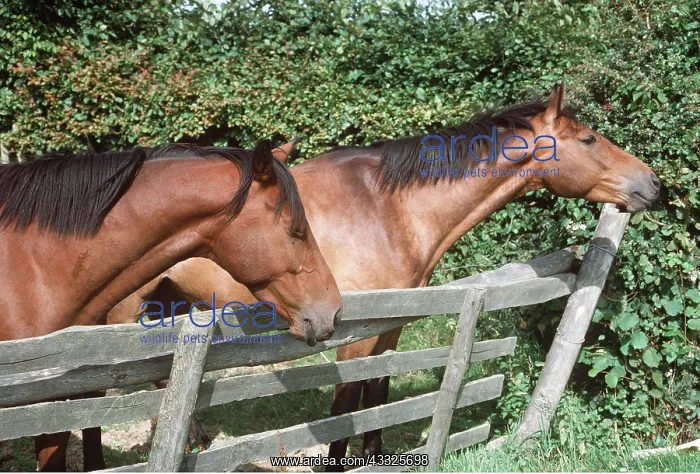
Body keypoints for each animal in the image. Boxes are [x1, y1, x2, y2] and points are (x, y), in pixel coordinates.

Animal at [107, 83, 661, 469]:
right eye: (588, 138)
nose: (653, 183)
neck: (388, 211)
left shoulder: (389, 329)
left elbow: (378, 397)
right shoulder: (349, 335)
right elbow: (346, 407)